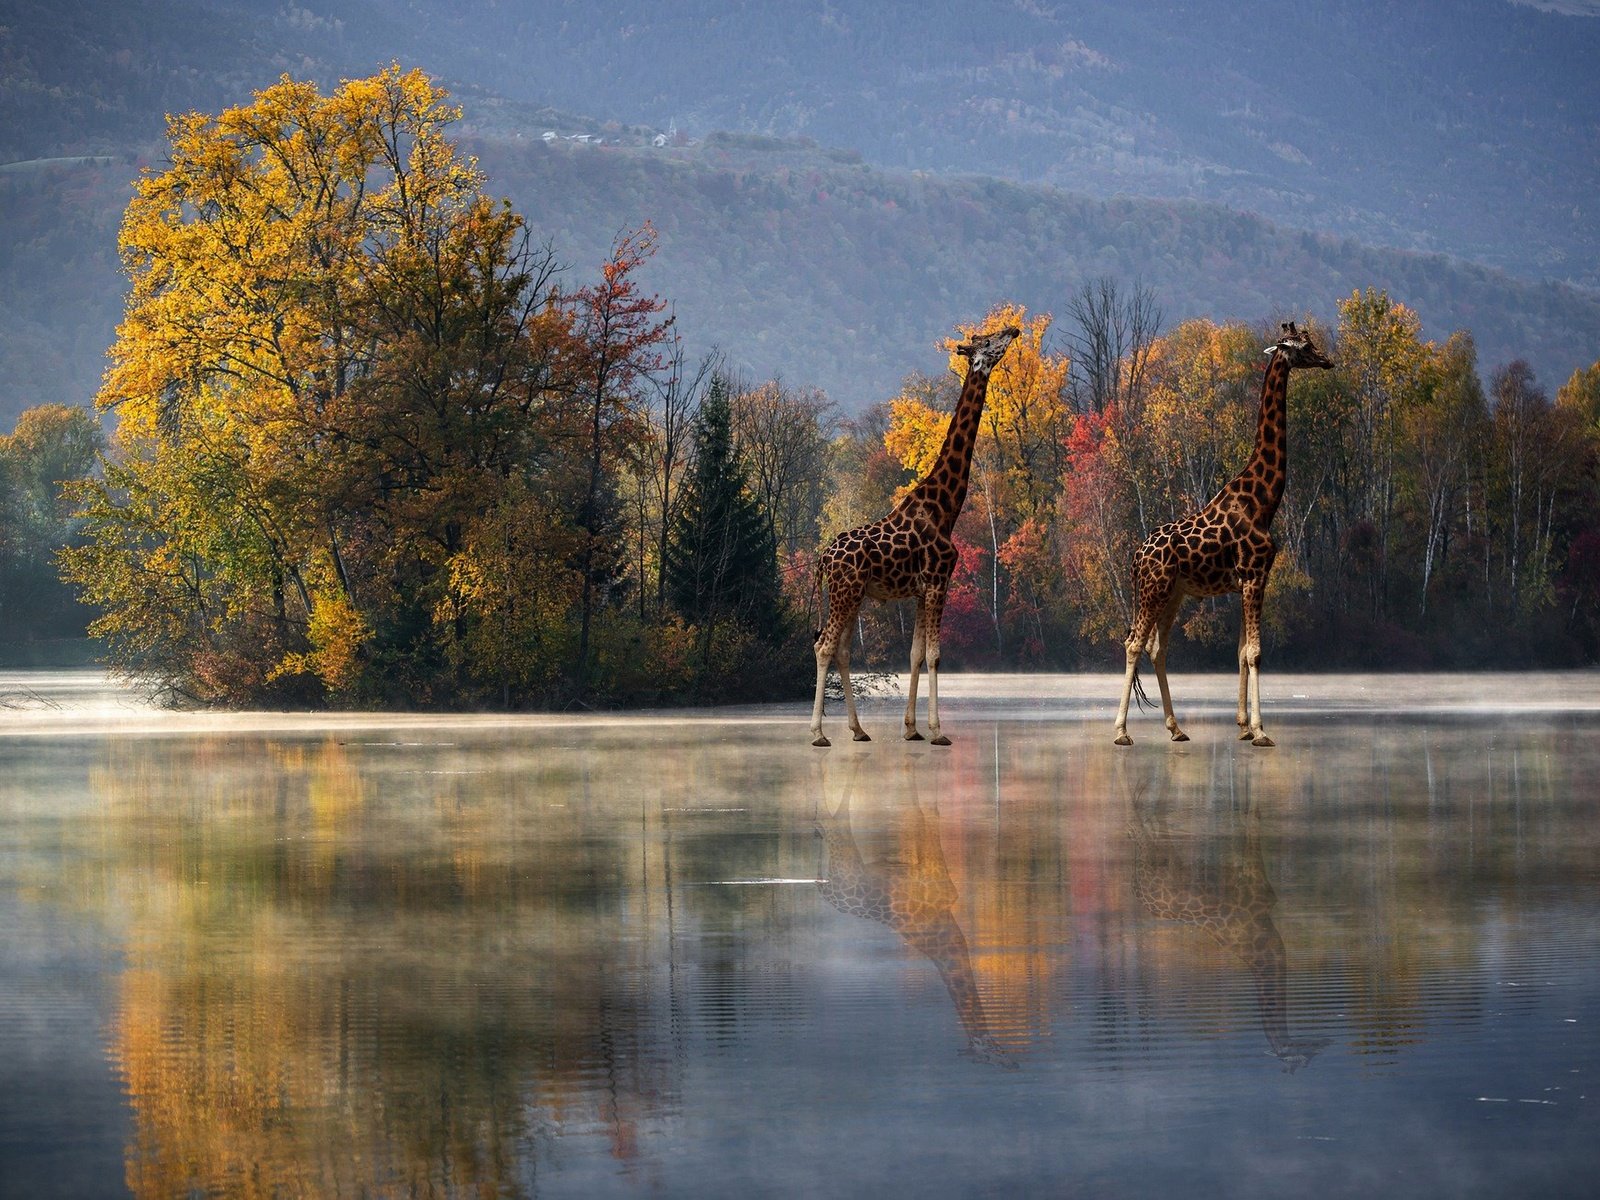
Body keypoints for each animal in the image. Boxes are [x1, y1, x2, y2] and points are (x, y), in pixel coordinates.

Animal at [806, 324, 1017, 748]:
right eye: (988, 341)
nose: (1014, 329)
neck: (946, 507)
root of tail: (823, 558)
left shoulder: (922, 589)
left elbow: (916, 654)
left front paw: (911, 728)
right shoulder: (938, 581)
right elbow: (935, 654)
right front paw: (937, 731)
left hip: (852, 595)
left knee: (842, 650)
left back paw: (858, 730)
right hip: (845, 592)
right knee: (824, 646)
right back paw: (819, 733)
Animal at [812, 761, 1011, 1068]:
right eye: (987, 1053)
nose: (1009, 1059)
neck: (948, 932)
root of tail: (828, 890)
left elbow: (925, 810)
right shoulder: (937, 874)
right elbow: (925, 811)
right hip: (848, 860)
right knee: (836, 821)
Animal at [1107, 324, 1331, 748]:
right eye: (1305, 345)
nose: (1328, 360)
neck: (1263, 500)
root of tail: (1135, 558)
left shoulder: (1249, 579)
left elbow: (1241, 651)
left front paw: (1244, 726)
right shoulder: (1255, 575)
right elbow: (1255, 652)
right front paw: (1260, 731)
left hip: (1173, 594)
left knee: (1157, 648)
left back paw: (1176, 728)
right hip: (1153, 590)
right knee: (1133, 644)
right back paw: (1122, 731)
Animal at [1126, 774, 1337, 1075]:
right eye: (1304, 1057)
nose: (1324, 1042)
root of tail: (1138, 889)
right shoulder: (1257, 884)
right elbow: (1252, 816)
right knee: (1142, 830)